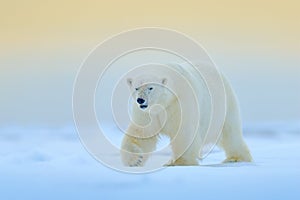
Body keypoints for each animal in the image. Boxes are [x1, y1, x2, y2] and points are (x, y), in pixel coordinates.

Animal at [120, 62, 252, 166]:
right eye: (136, 88)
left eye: (151, 88)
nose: (140, 100)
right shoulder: (147, 112)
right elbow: (141, 132)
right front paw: (135, 160)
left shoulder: (181, 101)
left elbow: (184, 131)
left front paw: (180, 162)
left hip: (223, 106)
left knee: (230, 133)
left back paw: (236, 158)